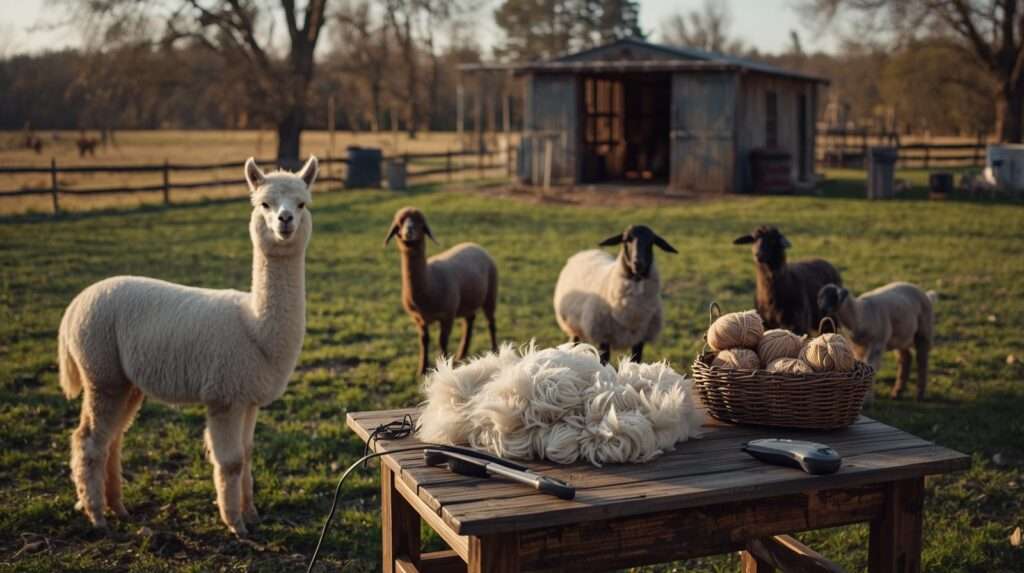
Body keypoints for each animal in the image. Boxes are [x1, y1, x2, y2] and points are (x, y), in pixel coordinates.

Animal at [57, 156, 317, 536]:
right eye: (264, 205)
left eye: (302, 204)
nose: (285, 221)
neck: (254, 327)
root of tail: (76, 304)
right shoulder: (224, 396)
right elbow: (231, 461)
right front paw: (236, 525)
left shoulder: (248, 397)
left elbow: (248, 453)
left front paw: (252, 514)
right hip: (100, 370)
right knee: (88, 440)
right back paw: (97, 516)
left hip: (124, 380)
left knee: (112, 439)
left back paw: (118, 507)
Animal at [385, 207, 499, 375]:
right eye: (399, 223)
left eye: (420, 223)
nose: (409, 230)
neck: (429, 280)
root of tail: (475, 244)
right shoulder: (418, 319)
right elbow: (424, 341)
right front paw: (422, 369)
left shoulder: (447, 315)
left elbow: (442, 341)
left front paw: (443, 367)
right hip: (468, 301)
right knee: (469, 321)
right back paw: (461, 354)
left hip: (491, 293)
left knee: (491, 323)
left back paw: (495, 350)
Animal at [553, 225, 678, 364]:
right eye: (626, 239)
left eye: (651, 242)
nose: (638, 263)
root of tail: (585, 252)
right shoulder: (603, 337)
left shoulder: (640, 340)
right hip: (572, 325)